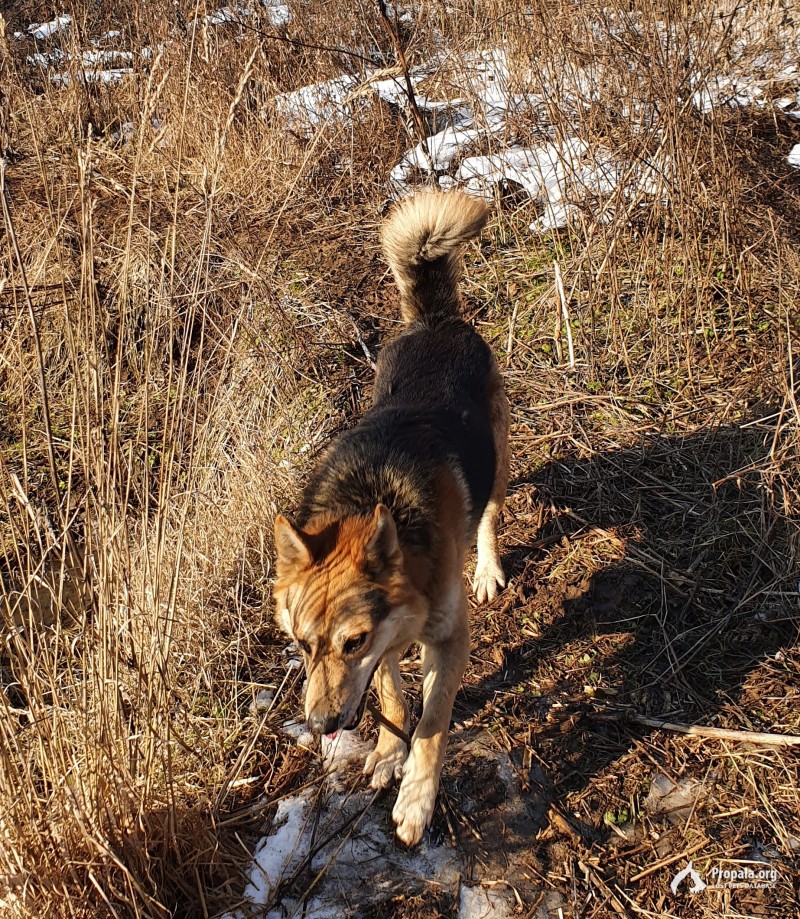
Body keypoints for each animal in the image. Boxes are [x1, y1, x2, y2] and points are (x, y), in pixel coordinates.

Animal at [276, 194, 510, 848]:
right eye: (300, 644)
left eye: (351, 641)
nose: (321, 725)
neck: (374, 497)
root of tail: (434, 323)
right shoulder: (385, 650)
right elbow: (393, 696)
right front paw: (384, 752)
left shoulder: (447, 642)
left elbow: (432, 723)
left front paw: (416, 800)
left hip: (499, 454)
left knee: (491, 512)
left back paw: (488, 569)